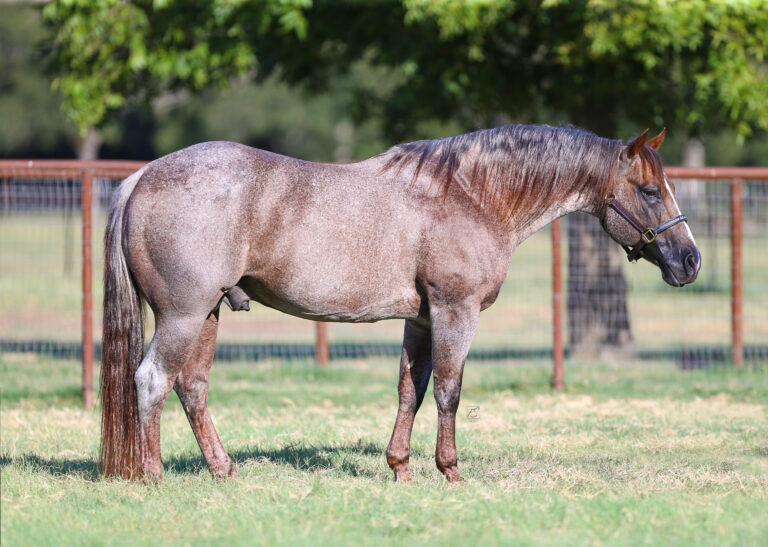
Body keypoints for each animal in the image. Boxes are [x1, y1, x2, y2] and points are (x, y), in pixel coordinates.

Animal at [100, 124, 700, 482]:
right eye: (650, 191)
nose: (691, 261)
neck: (471, 195)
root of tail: (141, 177)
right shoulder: (456, 313)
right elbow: (449, 392)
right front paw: (451, 471)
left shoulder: (422, 320)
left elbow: (411, 390)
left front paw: (401, 469)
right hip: (182, 315)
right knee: (152, 380)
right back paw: (152, 475)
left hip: (207, 314)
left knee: (192, 387)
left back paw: (224, 470)